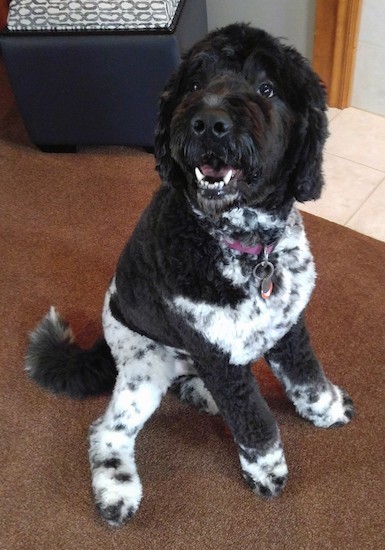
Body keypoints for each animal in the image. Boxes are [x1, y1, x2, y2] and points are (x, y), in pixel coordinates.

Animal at [24, 23, 354, 528]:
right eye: (195, 84)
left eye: (267, 88)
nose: (209, 122)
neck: (247, 248)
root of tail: (105, 342)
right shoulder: (217, 354)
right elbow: (256, 422)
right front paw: (266, 469)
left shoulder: (288, 328)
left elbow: (307, 377)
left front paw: (327, 409)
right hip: (145, 369)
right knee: (107, 430)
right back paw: (116, 490)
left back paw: (203, 396)